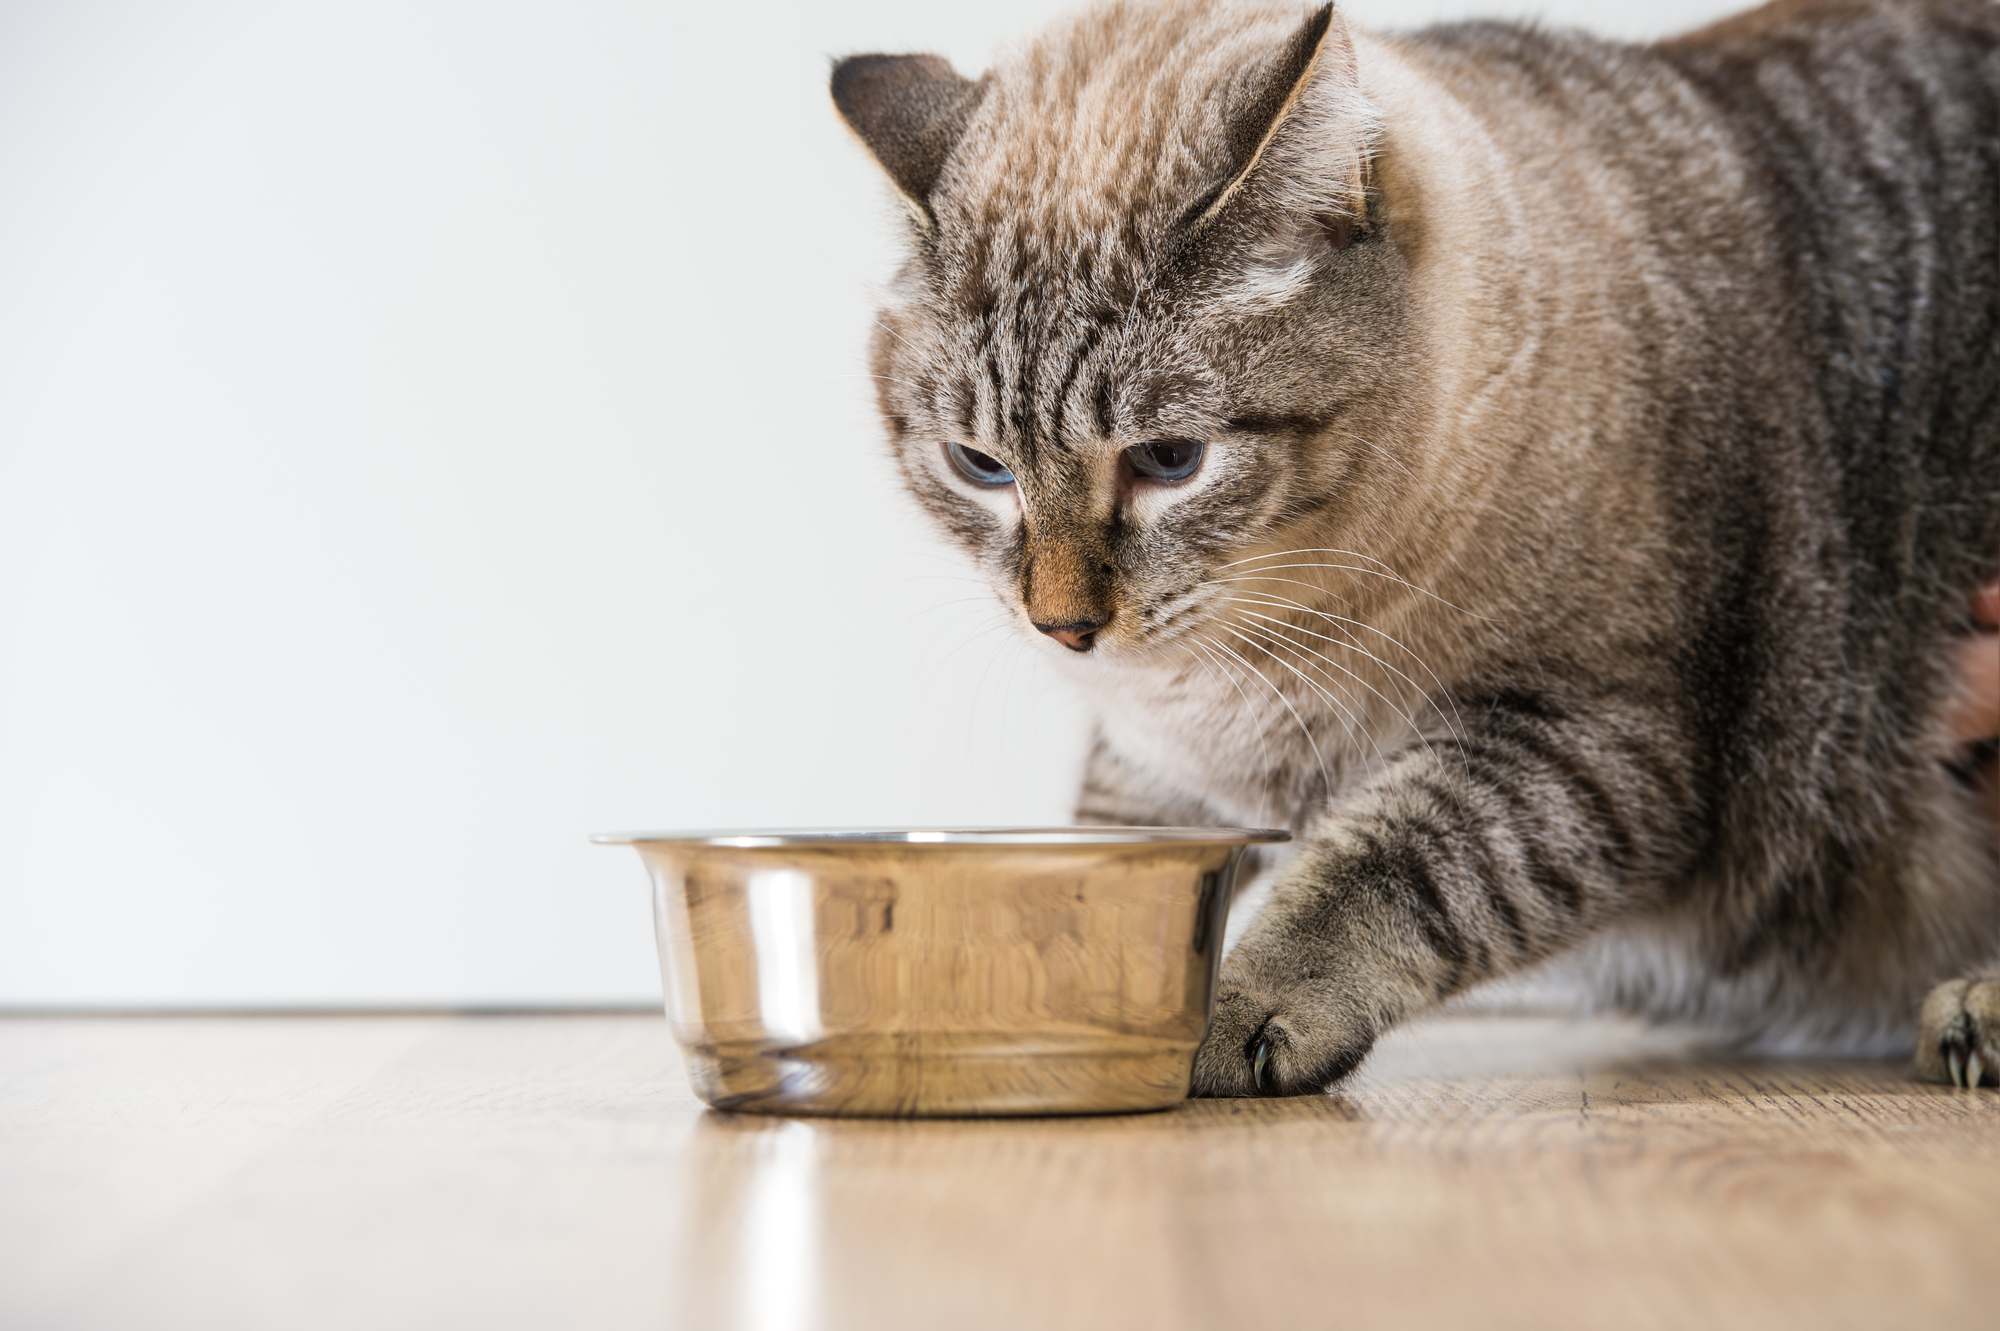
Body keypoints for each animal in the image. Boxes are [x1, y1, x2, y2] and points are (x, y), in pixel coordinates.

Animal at [828, 0, 2000, 1087]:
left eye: (1168, 460)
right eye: (979, 466)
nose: (1063, 626)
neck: (1250, 657)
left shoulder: (1591, 742)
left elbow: (1386, 869)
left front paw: (1228, 1010)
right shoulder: (1156, 760)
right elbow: (1095, 862)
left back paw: (1973, 1010)